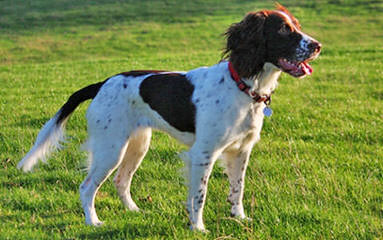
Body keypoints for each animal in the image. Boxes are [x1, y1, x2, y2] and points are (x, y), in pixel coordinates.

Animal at [19, 4, 322, 232]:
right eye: (283, 29)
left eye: (296, 25)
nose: (318, 46)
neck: (243, 86)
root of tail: (103, 83)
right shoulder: (203, 153)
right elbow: (199, 195)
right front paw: (198, 228)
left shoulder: (241, 150)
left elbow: (238, 188)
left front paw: (240, 218)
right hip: (111, 147)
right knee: (87, 186)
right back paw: (93, 222)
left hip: (138, 144)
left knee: (121, 181)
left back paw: (135, 211)